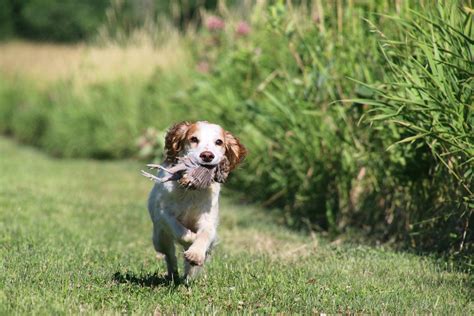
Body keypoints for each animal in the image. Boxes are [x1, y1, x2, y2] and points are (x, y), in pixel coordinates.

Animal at [146, 121, 246, 282]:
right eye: (193, 139)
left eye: (219, 142)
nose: (207, 155)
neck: (192, 192)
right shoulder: (163, 213)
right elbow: (180, 230)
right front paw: (191, 238)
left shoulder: (208, 220)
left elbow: (205, 235)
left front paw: (195, 254)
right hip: (159, 238)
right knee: (169, 254)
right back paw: (173, 273)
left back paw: (189, 274)